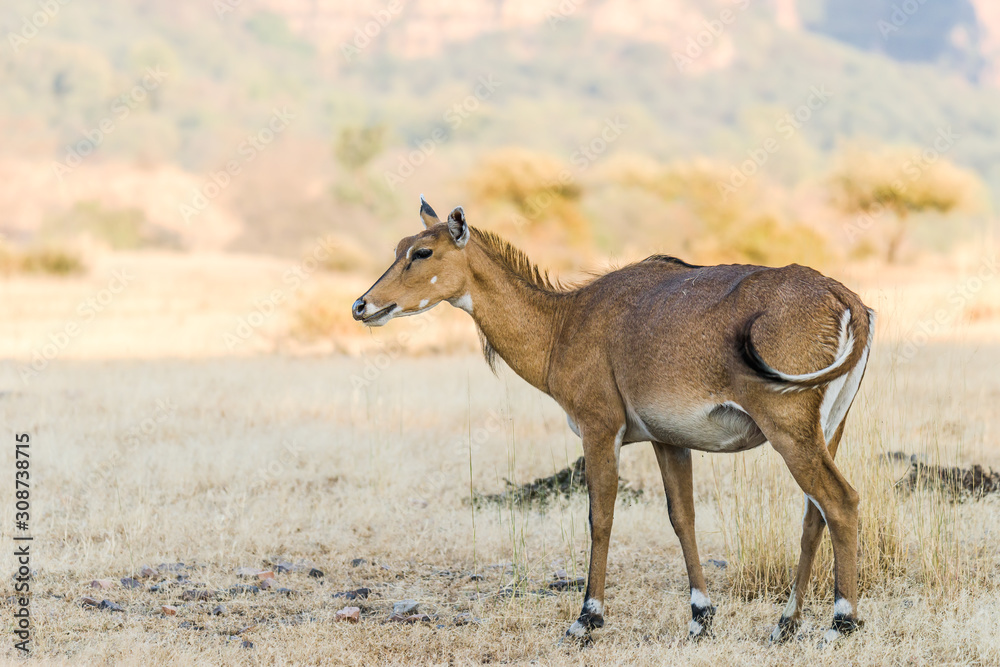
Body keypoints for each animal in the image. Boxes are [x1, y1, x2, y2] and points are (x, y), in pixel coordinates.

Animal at [352, 197, 875, 644]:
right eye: (399, 247)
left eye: (422, 252)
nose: (362, 305)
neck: (561, 323)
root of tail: (845, 298)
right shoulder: (668, 439)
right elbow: (682, 517)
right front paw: (700, 617)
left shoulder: (599, 428)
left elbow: (599, 517)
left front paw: (587, 618)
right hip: (829, 429)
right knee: (814, 513)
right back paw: (785, 624)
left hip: (789, 429)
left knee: (841, 500)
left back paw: (841, 623)